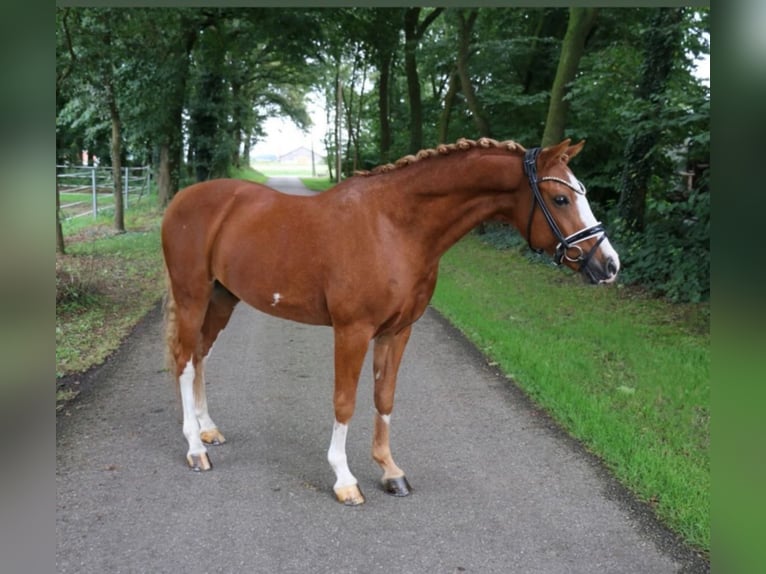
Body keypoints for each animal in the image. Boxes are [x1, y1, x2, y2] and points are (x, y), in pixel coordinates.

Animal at [162, 137, 616, 506]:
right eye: (560, 199)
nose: (609, 265)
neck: (394, 227)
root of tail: (181, 200)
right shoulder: (353, 331)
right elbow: (344, 401)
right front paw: (344, 479)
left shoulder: (398, 331)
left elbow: (384, 397)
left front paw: (390, 471)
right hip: (192, 296)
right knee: (184, 361)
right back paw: (195, 449)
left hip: (223, 297)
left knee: (200, 355)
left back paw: (208, 429)